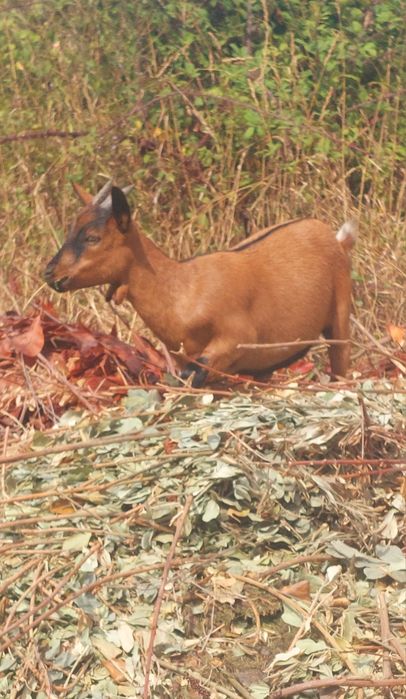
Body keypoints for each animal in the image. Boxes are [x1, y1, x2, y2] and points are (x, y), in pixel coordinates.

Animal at [44, 180, 357, 386]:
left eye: (92, 237)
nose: (50, 272)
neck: (181, 288)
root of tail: (337, 239)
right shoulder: (187, 356)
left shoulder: (236, 339)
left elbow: (194, 376)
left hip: (340, 315)